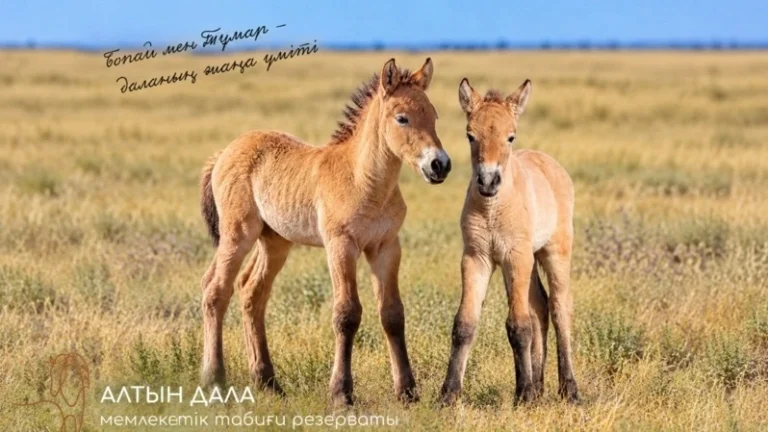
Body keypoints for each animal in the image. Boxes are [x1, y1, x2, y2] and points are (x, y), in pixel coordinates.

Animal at [199, 58, 450, 405]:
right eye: (402, 118)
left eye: (434, 116)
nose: (440, 165)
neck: (365, 181)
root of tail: (224, 152)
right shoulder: (340, 245)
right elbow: (346, 314)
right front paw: (341, 392)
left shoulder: (386, 246)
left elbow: (392, 314)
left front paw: (407, 391)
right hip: (237, 234)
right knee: (215, 290)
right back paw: (214, 380)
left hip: (274, 242)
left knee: (251, 291)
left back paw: (268, 382)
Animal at [440, 78, 580, 404]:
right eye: (470, 136)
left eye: (510, 137)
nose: (488, 181)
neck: (493, 209)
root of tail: (551, 164)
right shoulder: (478, 258)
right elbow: (465, 323)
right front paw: (448, 393)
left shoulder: (516, 257)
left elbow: (518, 325)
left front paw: (524, 395)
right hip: (520, 262)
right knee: (540, 308)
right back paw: (539, 386)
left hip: (553, 253)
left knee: (559, 308)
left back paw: (568, 389)